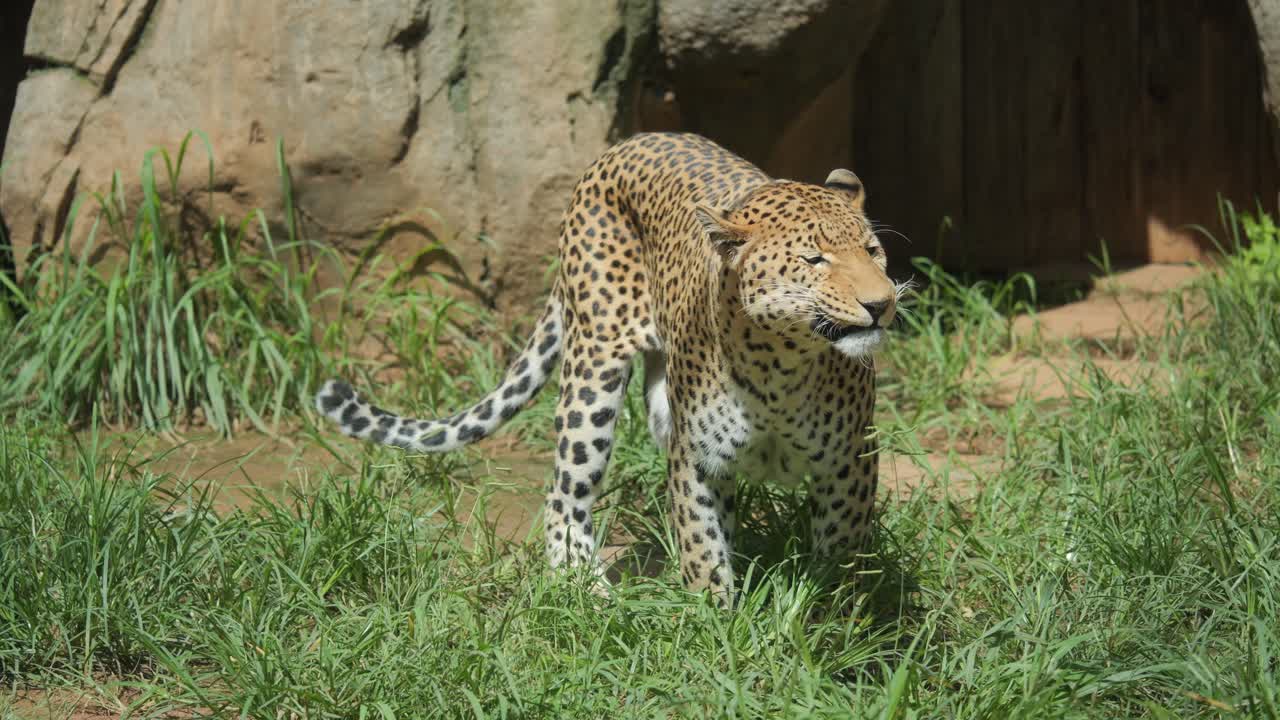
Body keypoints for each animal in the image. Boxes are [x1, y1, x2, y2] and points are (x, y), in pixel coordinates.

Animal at [315, 132, 900, 605]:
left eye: (873, 250)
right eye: (814, 260)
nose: (881, 302)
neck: (779, 363)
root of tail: (628, 142)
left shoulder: (850, 460)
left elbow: (841, 558)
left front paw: (830, 618)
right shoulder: (697, 460)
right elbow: (704, 554)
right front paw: (718, 631)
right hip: (592, 369)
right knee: (563, 492)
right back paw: (584, 591)